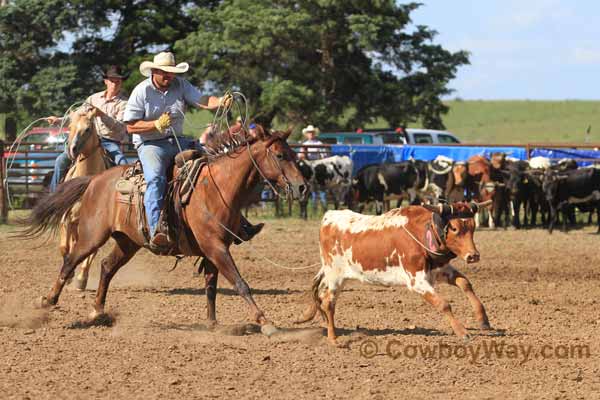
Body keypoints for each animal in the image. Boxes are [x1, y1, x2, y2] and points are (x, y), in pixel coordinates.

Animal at [21, 128, 308, 328]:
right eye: (280, 155)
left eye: (295, 155)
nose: (303, 186)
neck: (216, 188)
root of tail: (95, 180)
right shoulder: (215, 247)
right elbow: (240, 283)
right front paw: (265, 321)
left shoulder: (213, 249)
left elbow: (211, 287)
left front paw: (212, 323)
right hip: (92, 234)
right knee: (70, 261)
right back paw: (48, 301)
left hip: (128, 242)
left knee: (106, 266)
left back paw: (97, 312)